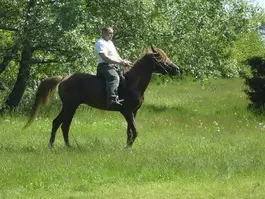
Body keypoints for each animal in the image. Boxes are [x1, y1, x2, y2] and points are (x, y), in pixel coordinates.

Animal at [24, 45, 179, 147]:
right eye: (160, 58)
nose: (177, 69)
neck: (132, 83)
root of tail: (63, 78)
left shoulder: (134, 112)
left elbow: (129, 131)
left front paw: (128, 148)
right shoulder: (127, 111)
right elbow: (134, 131)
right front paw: (126, 148)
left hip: (69, 106)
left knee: (59, 123)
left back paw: (60, 146)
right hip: (70, 106)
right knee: (63, 124)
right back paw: (62, 146)